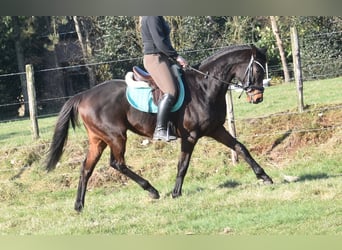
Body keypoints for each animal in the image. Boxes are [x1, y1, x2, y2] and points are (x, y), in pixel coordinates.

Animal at [46, 44, 272, 211]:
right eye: (257, 69)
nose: (258, 98)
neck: (204, 87)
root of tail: (83, 95)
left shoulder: (216, 129)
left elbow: (241, 148)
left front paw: (264, 177)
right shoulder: (190, 136)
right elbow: (183, 165)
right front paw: (176, 193)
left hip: (98, 139)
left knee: (86, 168)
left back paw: (79, 205)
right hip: (116, 136)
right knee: (117, 163)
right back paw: (152, 190)